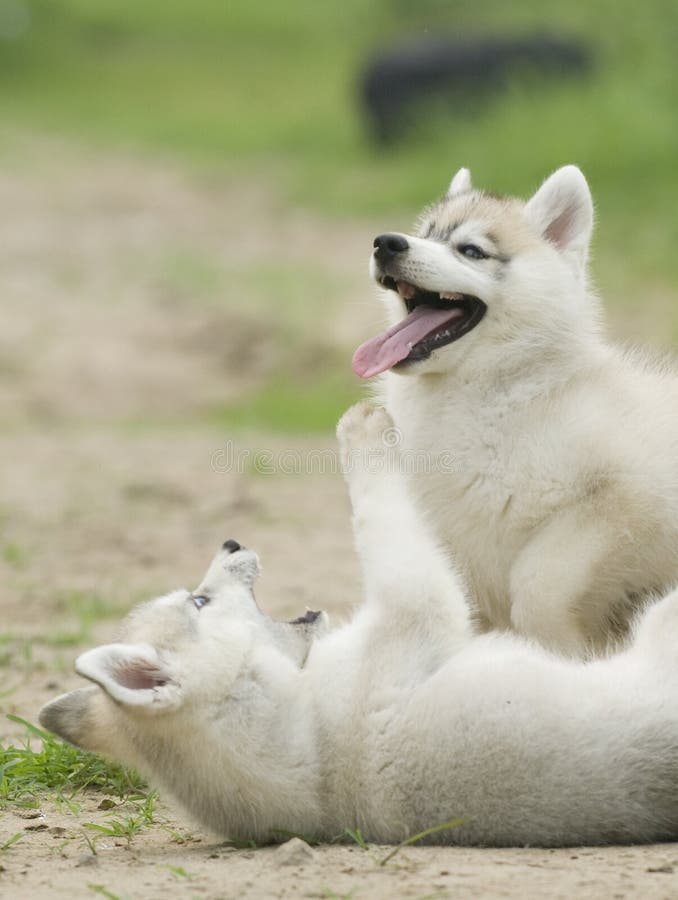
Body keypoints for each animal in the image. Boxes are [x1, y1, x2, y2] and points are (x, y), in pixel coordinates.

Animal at [38, 404, 678, 848]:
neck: (310, 739)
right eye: (198, 602)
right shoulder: (419, 598)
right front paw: (363, 430)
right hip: (660, 622)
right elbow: (380, 517)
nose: (231, 542)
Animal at [354, 169, 678, 656]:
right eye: (427, 234)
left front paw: (565, 653)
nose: (386, 243)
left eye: (471, 250)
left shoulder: (626, 499)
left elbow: (536, 583)